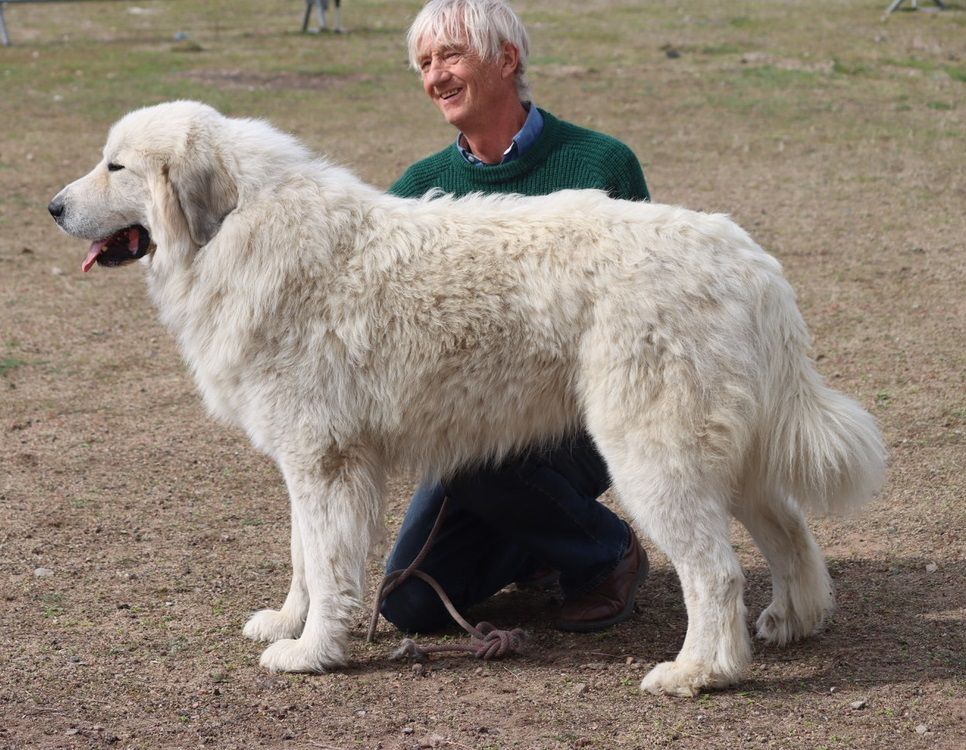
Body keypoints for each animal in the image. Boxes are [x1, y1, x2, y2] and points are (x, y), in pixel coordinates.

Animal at [49, 101, 888, 700]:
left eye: (115, 165)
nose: (53, 207)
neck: (233, 232)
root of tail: (748, 258)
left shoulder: (324, 459)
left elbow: (325, 561)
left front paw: (313, 651)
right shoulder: (309, 457)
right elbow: (301, 556)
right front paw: (287, 622)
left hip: (653, 452)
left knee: (714, 571)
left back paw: (701, 672)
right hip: (726, 447)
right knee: (788, 528)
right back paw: (794, 621)